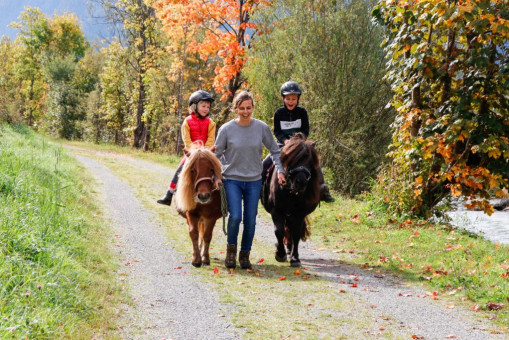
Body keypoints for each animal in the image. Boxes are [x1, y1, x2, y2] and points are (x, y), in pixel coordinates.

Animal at [260, 131, 320, 266]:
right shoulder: (276, 210)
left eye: (310, 161)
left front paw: (295, 258)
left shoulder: (299, 213)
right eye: (292, 159)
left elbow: (296, 233)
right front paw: (280, 254)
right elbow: (279, 231)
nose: (301, 182)